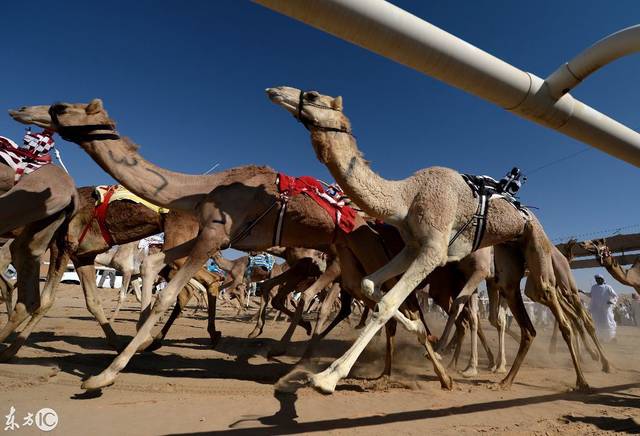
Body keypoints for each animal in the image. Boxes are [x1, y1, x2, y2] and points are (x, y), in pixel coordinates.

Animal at [10, 99, 448, 392]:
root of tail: (377, 220)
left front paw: (103, 375)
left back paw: (433, 370)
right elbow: (155, 264)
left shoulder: (214, 236)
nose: (20, 110)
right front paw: (144, 339)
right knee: (371, 296)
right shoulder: (205, 237)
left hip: (364, 249)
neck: (200, 188)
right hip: (348, 256)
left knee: (394, 302)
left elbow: (168, 293)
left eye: (60, 106)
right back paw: (427, 365)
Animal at [266, 84, 596, 392]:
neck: (406, 196)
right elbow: (371, 285)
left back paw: (583, 378)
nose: (274, 90)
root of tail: (525, 210)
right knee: (523, 319)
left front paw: (327, 378)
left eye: (311, 95)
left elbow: (386, 303)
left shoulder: (434, 251)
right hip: (507, 261)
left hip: (536, 246)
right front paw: (419, 328)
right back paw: (505, 380)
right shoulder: (413, 247)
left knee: (554, 305)